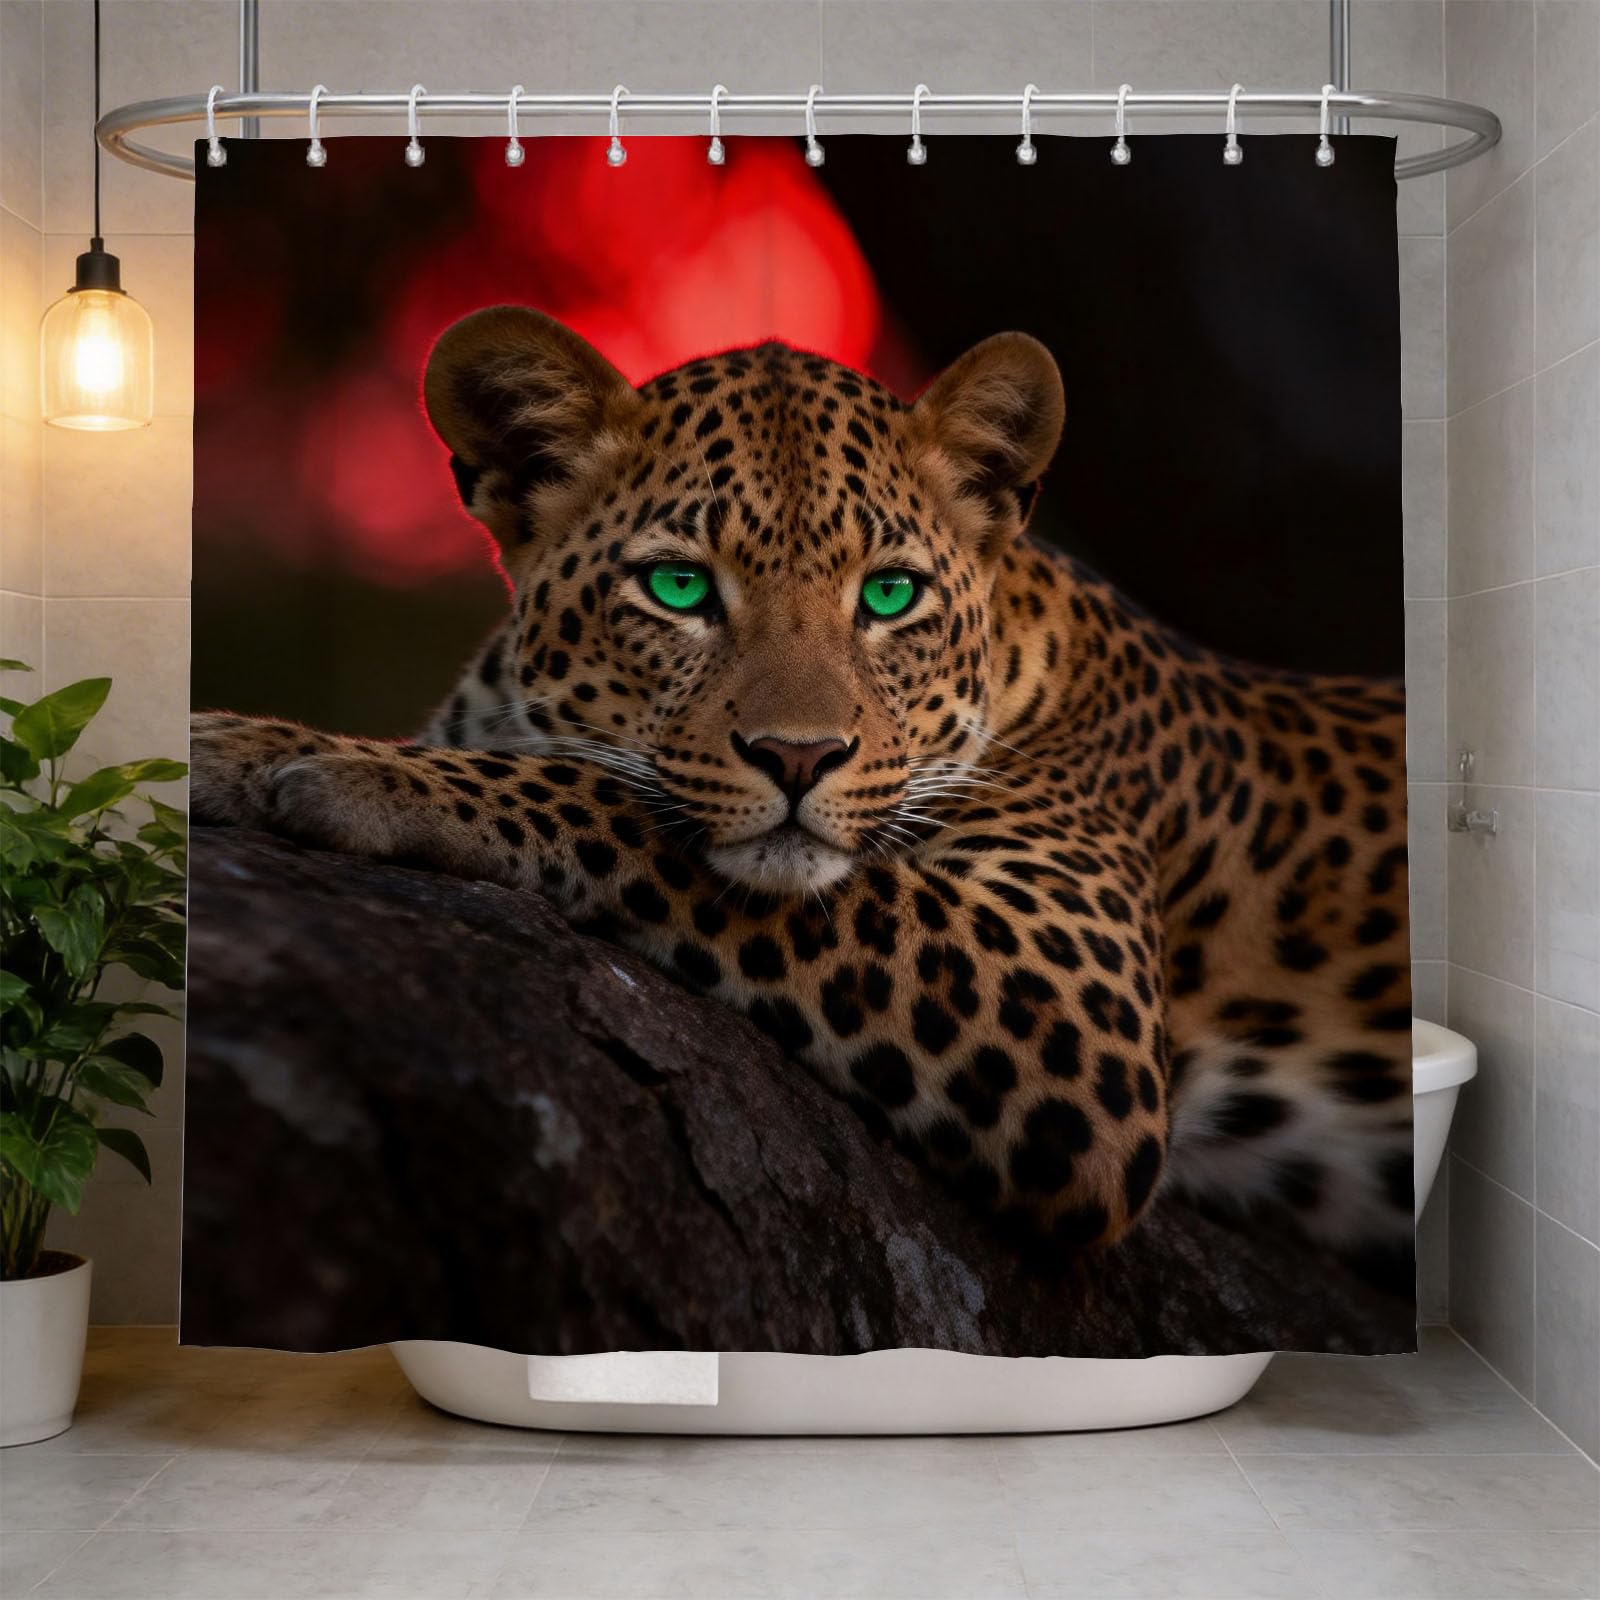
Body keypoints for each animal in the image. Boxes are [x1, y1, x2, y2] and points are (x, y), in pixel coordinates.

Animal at [191, 306, 1414, 1261]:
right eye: (680, 588)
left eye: (888, 596)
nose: (798, 757)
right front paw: (239, 739)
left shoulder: (1074, 1002)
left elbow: (609, 800)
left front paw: (357, 775)